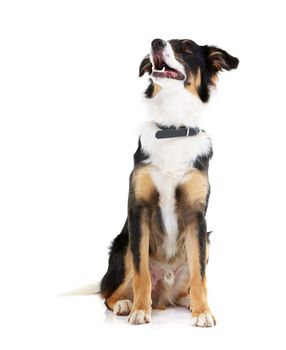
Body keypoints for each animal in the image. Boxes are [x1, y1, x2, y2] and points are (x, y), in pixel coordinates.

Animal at [99, 38, 238, 326]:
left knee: (190, 282)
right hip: (123, 244)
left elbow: (200, 274)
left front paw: (203, 311)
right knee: (109, 293)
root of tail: (164, 295)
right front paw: (140, 310)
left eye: (186, 49)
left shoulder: (197, 217)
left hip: (207, 241)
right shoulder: (139, 210)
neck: (173, 129)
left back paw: (188, 301)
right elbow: (141, 272)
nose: (156, 42)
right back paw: (125, 304)